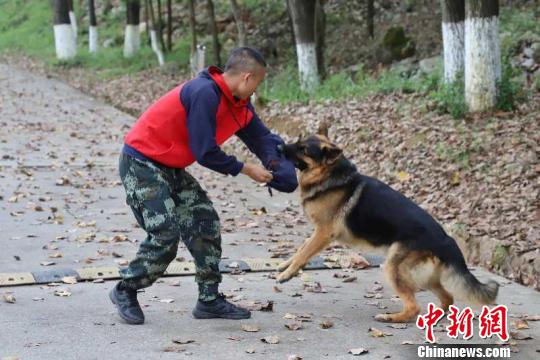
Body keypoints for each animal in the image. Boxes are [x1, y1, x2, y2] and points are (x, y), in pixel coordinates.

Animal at [276, 124, 500, 324]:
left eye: (303, 149)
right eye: (298, 140)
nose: (279, 147)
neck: (330, 174)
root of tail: (447, 240)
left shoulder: (323, 233)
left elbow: (304, 252)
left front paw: (287, 274)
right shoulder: (318, 233)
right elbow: (302, 248)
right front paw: (286, 265)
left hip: (393, 267)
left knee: (414, 306)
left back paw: (391, 317)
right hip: (423, 276)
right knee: (447, 298)